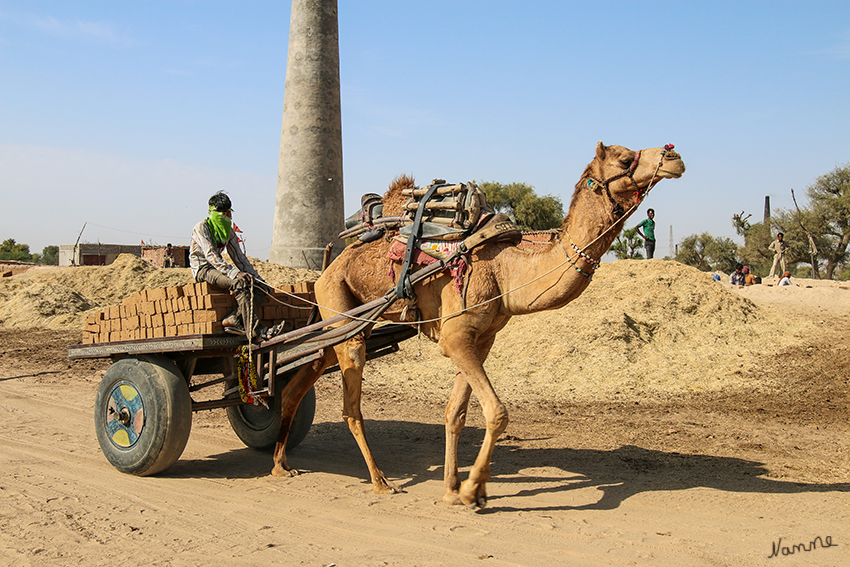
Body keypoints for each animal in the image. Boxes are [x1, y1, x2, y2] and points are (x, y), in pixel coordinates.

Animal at [272, 143, 684, 510]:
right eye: (625, 158)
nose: (673, 156)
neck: (507, 270)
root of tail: (325, 270)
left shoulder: (482, 339)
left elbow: (455, 413)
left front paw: (454, 489)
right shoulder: (456, 337)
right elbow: (497, 412)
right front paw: (473, 491)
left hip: (342, 324)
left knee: (304, 371)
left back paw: (281, 464)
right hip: (341, 308)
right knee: (350, 404)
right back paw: (380, 481)